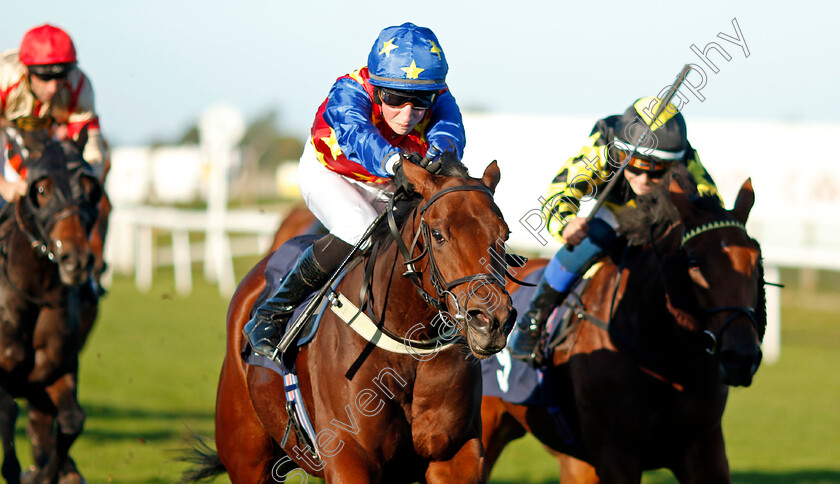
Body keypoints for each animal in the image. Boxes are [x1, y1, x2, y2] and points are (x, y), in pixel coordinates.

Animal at [0, 130, 101, 484]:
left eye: (90, 190)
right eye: (41, 189)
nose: (76, 260)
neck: (34, 293)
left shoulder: (56, 369)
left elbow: (72, 421)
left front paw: (45, 474)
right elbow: (7, 409)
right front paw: (15, 470)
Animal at [191, 160, 520, 484]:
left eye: (503, 235)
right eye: (438, 234)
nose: (491, 321)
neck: (407, 345)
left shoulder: (454, 455)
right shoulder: (350, 457)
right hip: (246, 456)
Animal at [480, 172, 768, 482]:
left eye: (756, 260)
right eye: (694, 263)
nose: (741, 357)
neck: (666, 360)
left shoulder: (705, 451)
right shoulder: (616, 455)